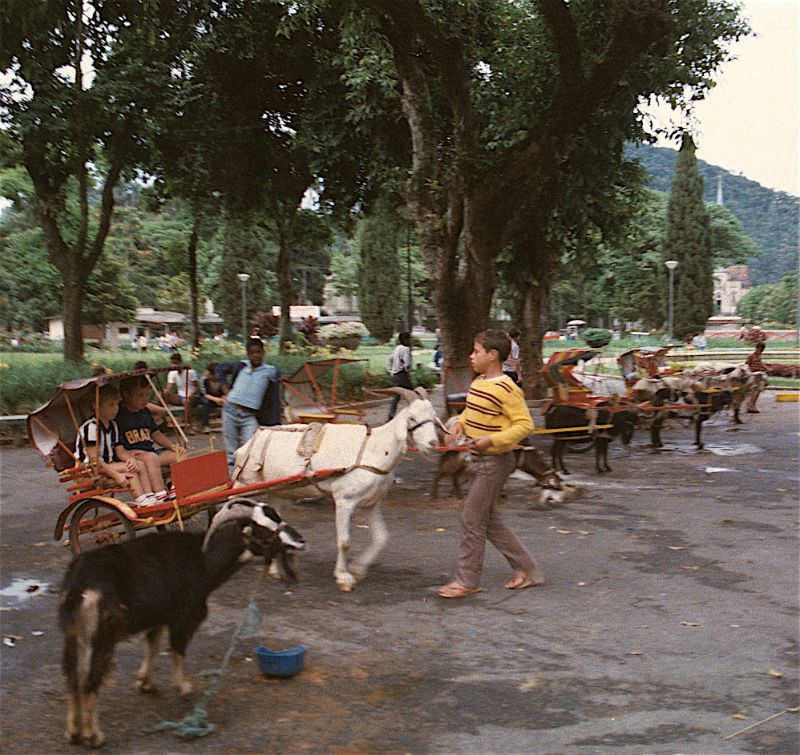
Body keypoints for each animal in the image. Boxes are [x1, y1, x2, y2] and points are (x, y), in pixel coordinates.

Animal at [59, 502, 304, 752]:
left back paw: (73, 732)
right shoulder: (185, 616)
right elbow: (177, 649)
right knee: (89, 681)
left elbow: (153, 645)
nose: (299, 541)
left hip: (74, 634)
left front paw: (145, 682)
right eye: (264, 529)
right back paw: (94, 736)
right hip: (102, 635)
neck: (203, 560)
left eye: (278, 520)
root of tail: (81, 587)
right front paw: (182, 686)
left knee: (73, 677)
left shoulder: (159, 615)